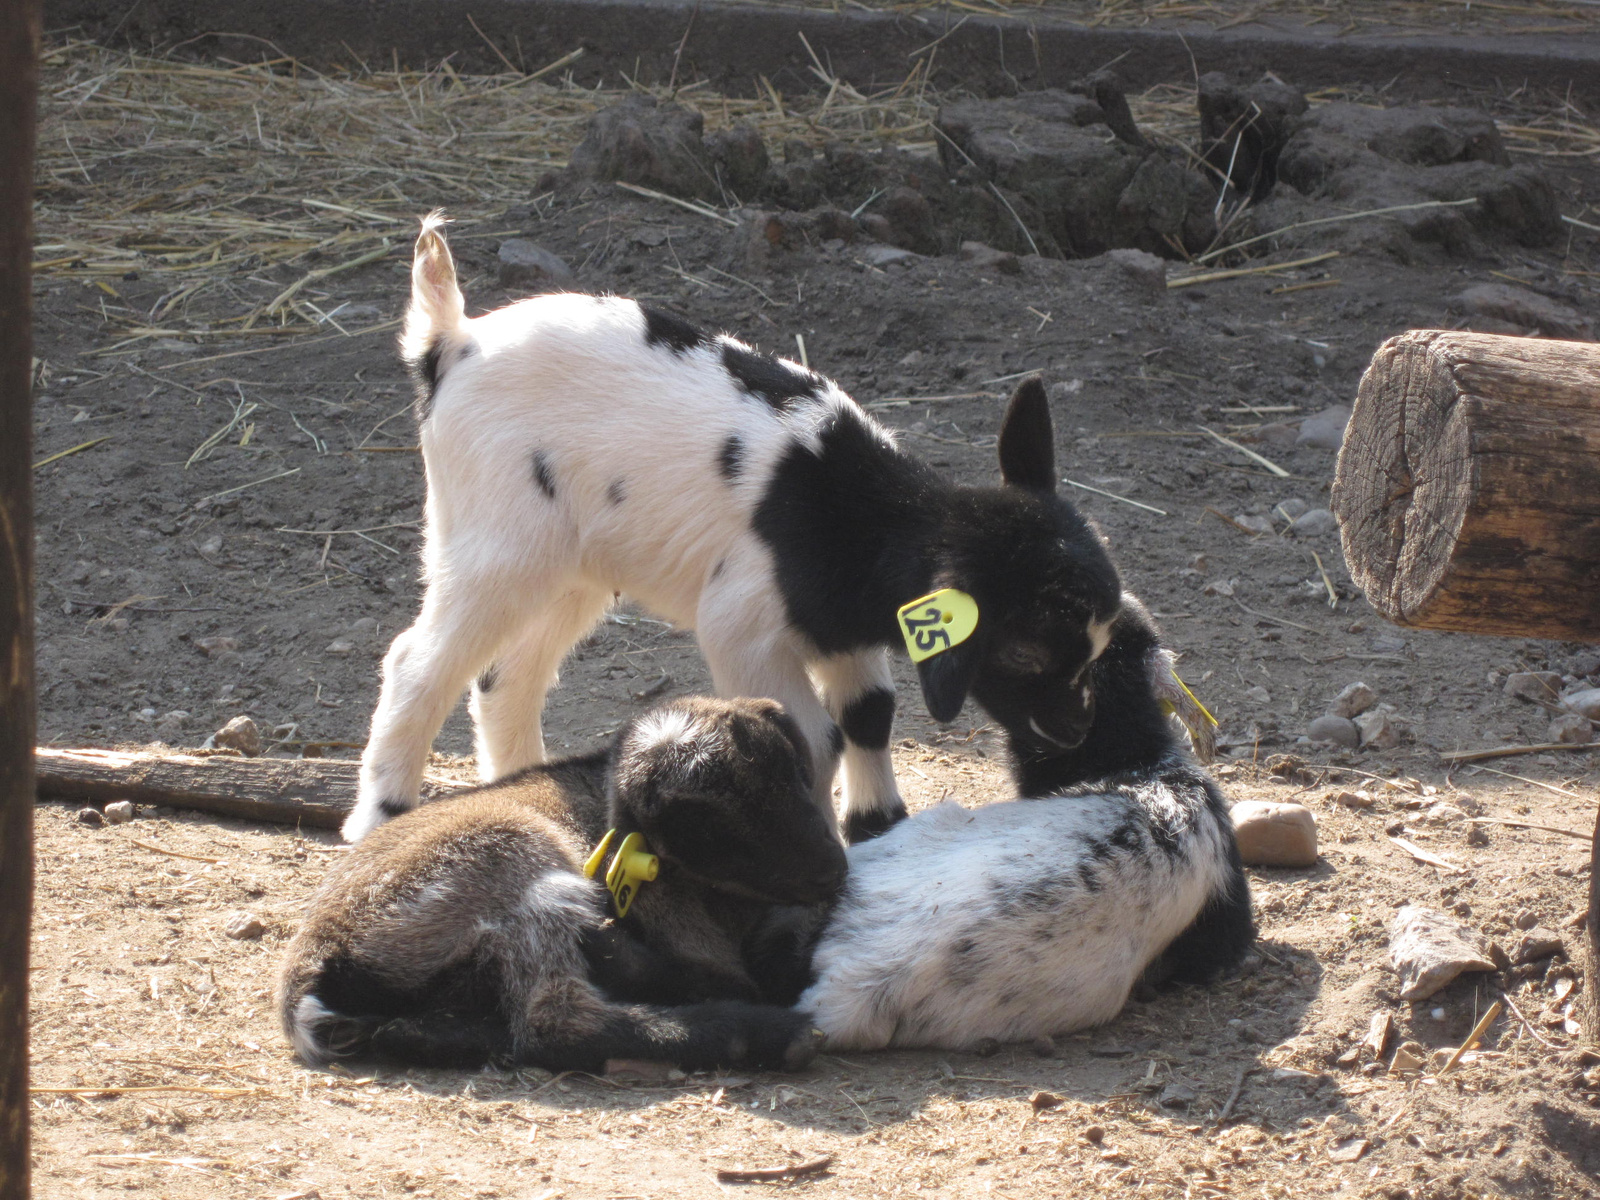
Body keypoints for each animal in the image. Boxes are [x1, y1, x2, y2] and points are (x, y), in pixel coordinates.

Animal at [275, 700, 851, 1075]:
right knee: (555, 1024)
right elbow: (735, 976)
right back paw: (771, 1035)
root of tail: (316, 960)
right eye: (713, 832)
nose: (832, 869)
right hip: (512, 857)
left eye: (799, 776)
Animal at [340, 219, 1126, 857]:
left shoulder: (841, 627)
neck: (852, 512)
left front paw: (878, 824)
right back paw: (379, 817)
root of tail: (451, 344)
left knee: (507, 675)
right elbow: (813, 737)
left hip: (572, 566)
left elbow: (868, 715)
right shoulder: (743, 624)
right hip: (495, 539)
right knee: (417, 663)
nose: (1078, 729)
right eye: (1024, 651)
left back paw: (521, 781)